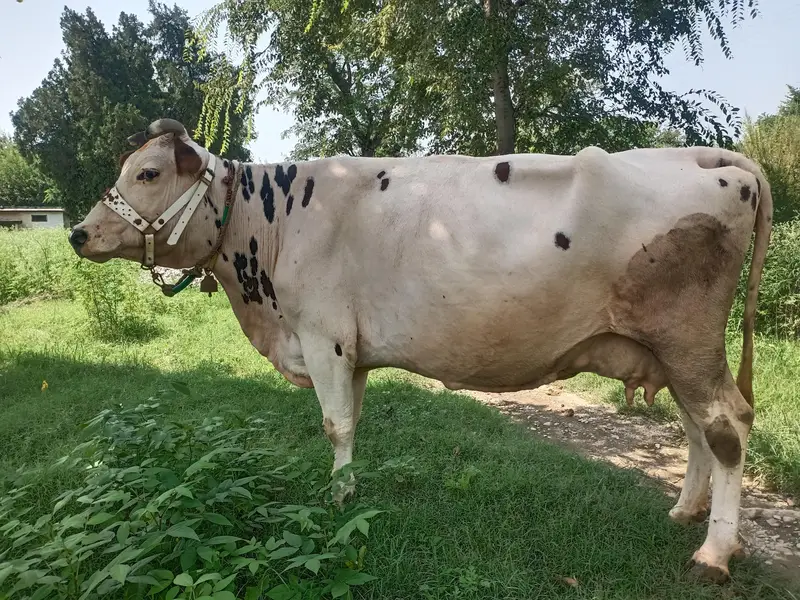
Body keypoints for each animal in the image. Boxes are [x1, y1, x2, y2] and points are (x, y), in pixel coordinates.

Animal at [68, 118, 772, 584]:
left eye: (148, 173)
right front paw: (349, 490)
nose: (78, 233)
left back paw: (714, 553)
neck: (270, 221)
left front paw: (336, 502)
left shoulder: (321, 334)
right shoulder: (350, 347)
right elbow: (352, 421)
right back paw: (685, 510)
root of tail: (703, 157)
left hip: (685, 337)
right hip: (670, 349)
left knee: (727, 425)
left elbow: (334, 422)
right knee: (698, 429)